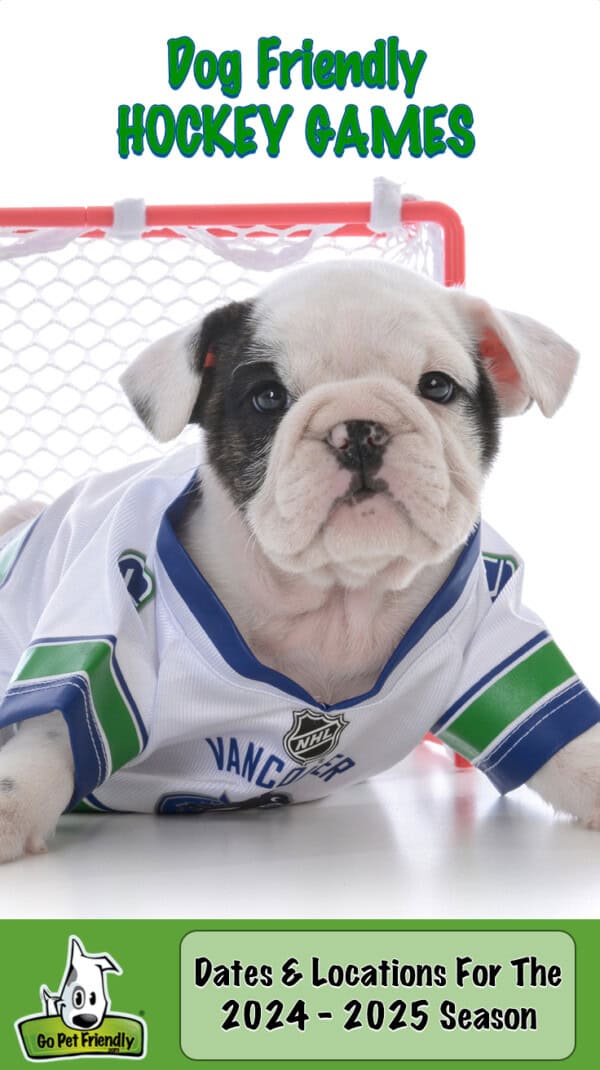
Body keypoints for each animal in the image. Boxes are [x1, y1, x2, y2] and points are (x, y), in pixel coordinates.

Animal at [1, 256, 598, 860]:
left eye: (437, 386)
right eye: (268, 398)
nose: (358, 428)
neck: (336, 599)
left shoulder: (490, 632)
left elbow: (572, 750)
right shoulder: (113, 625)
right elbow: (52, 737)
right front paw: (11, 804)